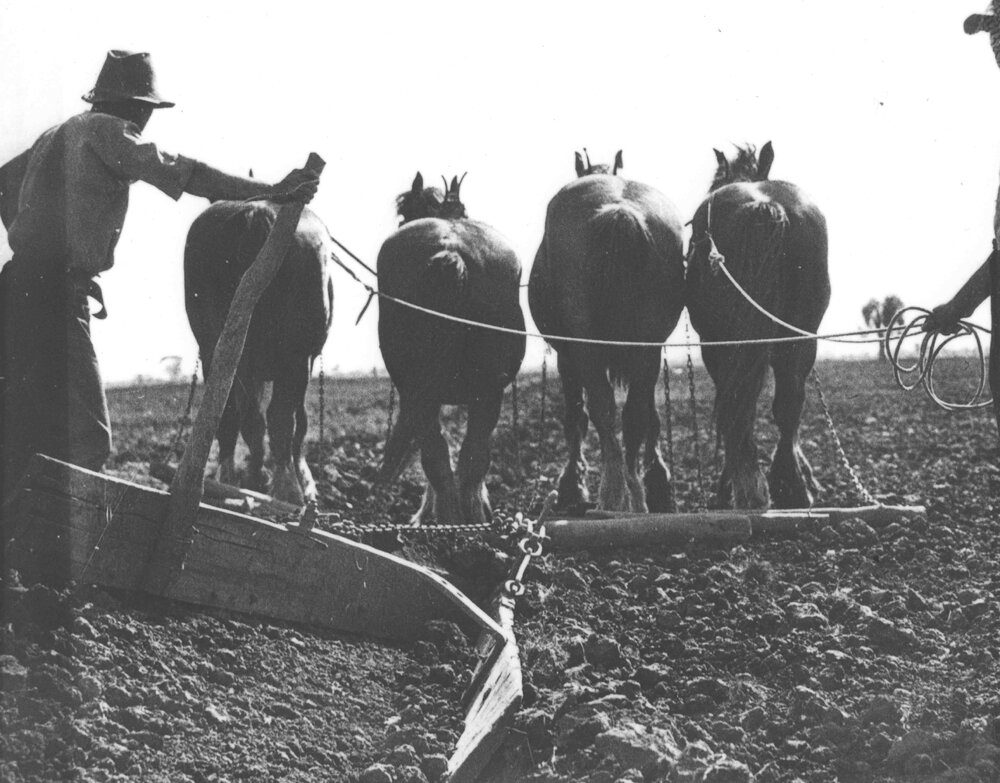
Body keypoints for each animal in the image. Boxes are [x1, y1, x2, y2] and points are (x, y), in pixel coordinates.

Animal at [184, 200, 334, 506]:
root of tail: (257, 212)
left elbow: (251, 420)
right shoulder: (305, 361)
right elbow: (298, 423)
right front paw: (304, 481)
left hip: (215, 352)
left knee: (230, 416)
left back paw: (229, 482)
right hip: (296, 359)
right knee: (280, 419)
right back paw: (287, 489)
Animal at [376, 174, 525, 526]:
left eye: (404, 212)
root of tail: (451, 251)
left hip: (425, 392)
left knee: (442, 453)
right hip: (486, 392)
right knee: (468, 455)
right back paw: (465, 520)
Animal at [528, 150, 686, 513]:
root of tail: (620, 209)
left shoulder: (567, 358)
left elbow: (576, 417)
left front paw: (572, 485)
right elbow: (651, 416)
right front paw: (657, 479)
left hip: (585, 348)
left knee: (601, 408)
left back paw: (613, 493)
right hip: (647, 345)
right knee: (634, 414)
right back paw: (634, 495)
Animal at [686, 142, 830, 509]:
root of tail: (764, 205)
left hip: (719, 343)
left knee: (738, 406)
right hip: (801, 337)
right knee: (788, 404)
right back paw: (791, 488)